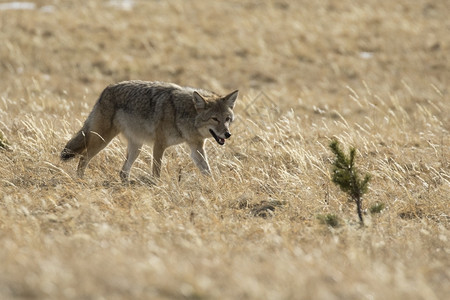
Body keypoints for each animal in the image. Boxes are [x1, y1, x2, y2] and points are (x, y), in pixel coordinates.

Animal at [59, 79, 239, 182]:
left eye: (227, 119)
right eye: (215, 119)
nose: (228, 134)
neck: (182, 113)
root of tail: (105, 90)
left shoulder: (196, 147)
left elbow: (207, 171)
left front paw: (213, 187)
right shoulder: (159, 145)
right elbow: (156, 172)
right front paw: (158, 187)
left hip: (136, 147)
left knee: (123, 172)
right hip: (102, 141)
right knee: (83, 158)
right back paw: (81, 180)